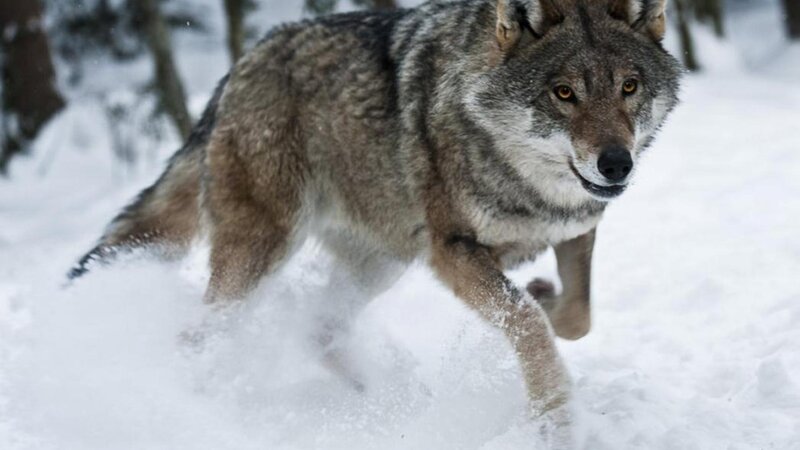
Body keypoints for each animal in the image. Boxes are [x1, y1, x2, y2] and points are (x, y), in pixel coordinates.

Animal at [70, 0, 681, 440]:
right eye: (564, 93)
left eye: (629, 87)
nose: (616, 164)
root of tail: (235, 72)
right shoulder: (452, 251)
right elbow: (528, 325)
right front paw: (557, 421)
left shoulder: (575, 231)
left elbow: (576, 317)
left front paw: (544, 296)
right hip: (265, 253)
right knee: (199, 336)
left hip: (381, 262)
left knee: (319, 330)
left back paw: (393, 404)